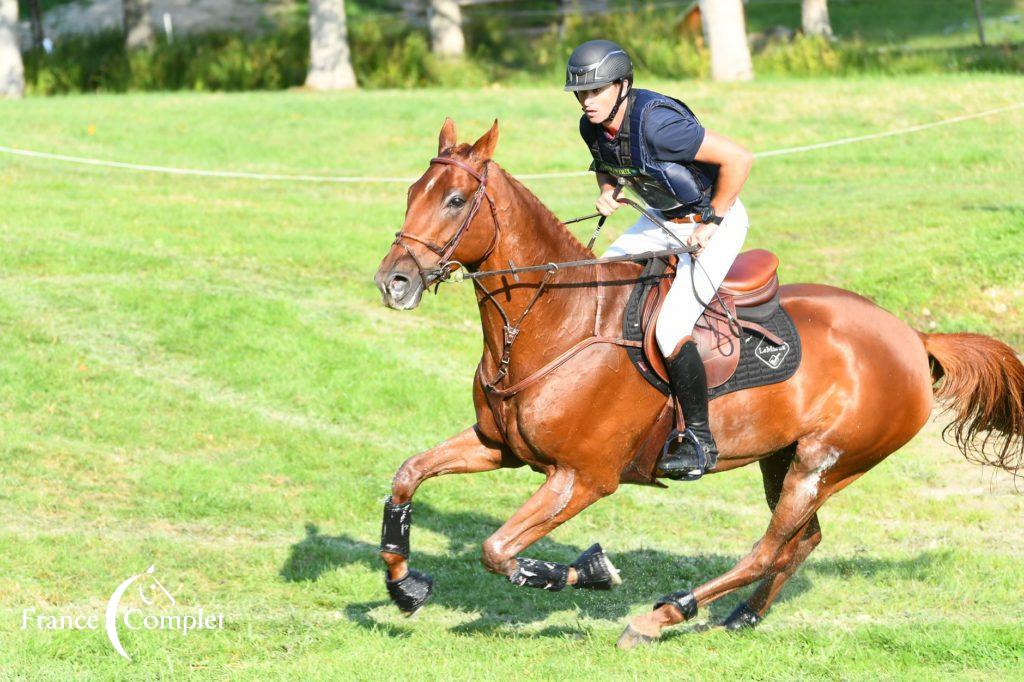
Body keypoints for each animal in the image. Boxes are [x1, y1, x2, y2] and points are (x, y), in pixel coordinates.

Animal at [372, 118, 1019, 647]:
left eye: (456, 200)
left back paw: (660, 617)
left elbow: (498, 550)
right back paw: (741, 617)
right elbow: (407, 476)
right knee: (801, 542)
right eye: (409, 194)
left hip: (826, 462)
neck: (556, 322)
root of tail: (914, 336)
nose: (393, 282)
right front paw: (404, 586)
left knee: (768, 548)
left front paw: (592, 571)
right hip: (782, 458)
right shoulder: (498, 446)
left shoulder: (583, 477)